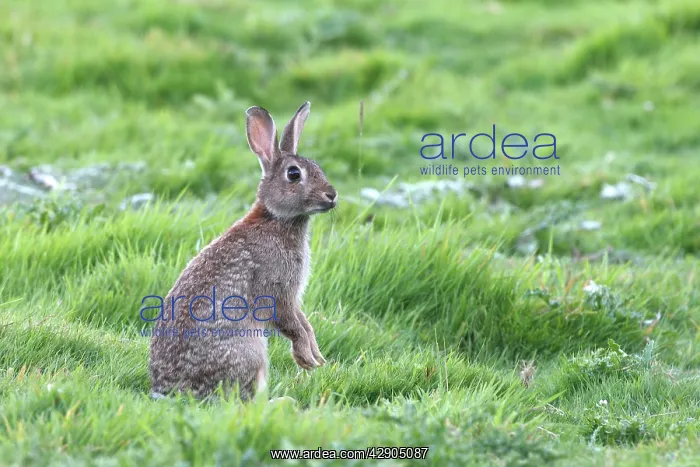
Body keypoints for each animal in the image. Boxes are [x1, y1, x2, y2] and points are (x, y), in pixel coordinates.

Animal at [149, 101, 336, 400]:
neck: (275, 218)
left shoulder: (293, 298)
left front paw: (316, 356)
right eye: (294, 174)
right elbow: (292, 324)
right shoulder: (277, 291)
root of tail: (169, 392)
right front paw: (306, 358)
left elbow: (305, 323)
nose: (332, 195)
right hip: (250, 350)